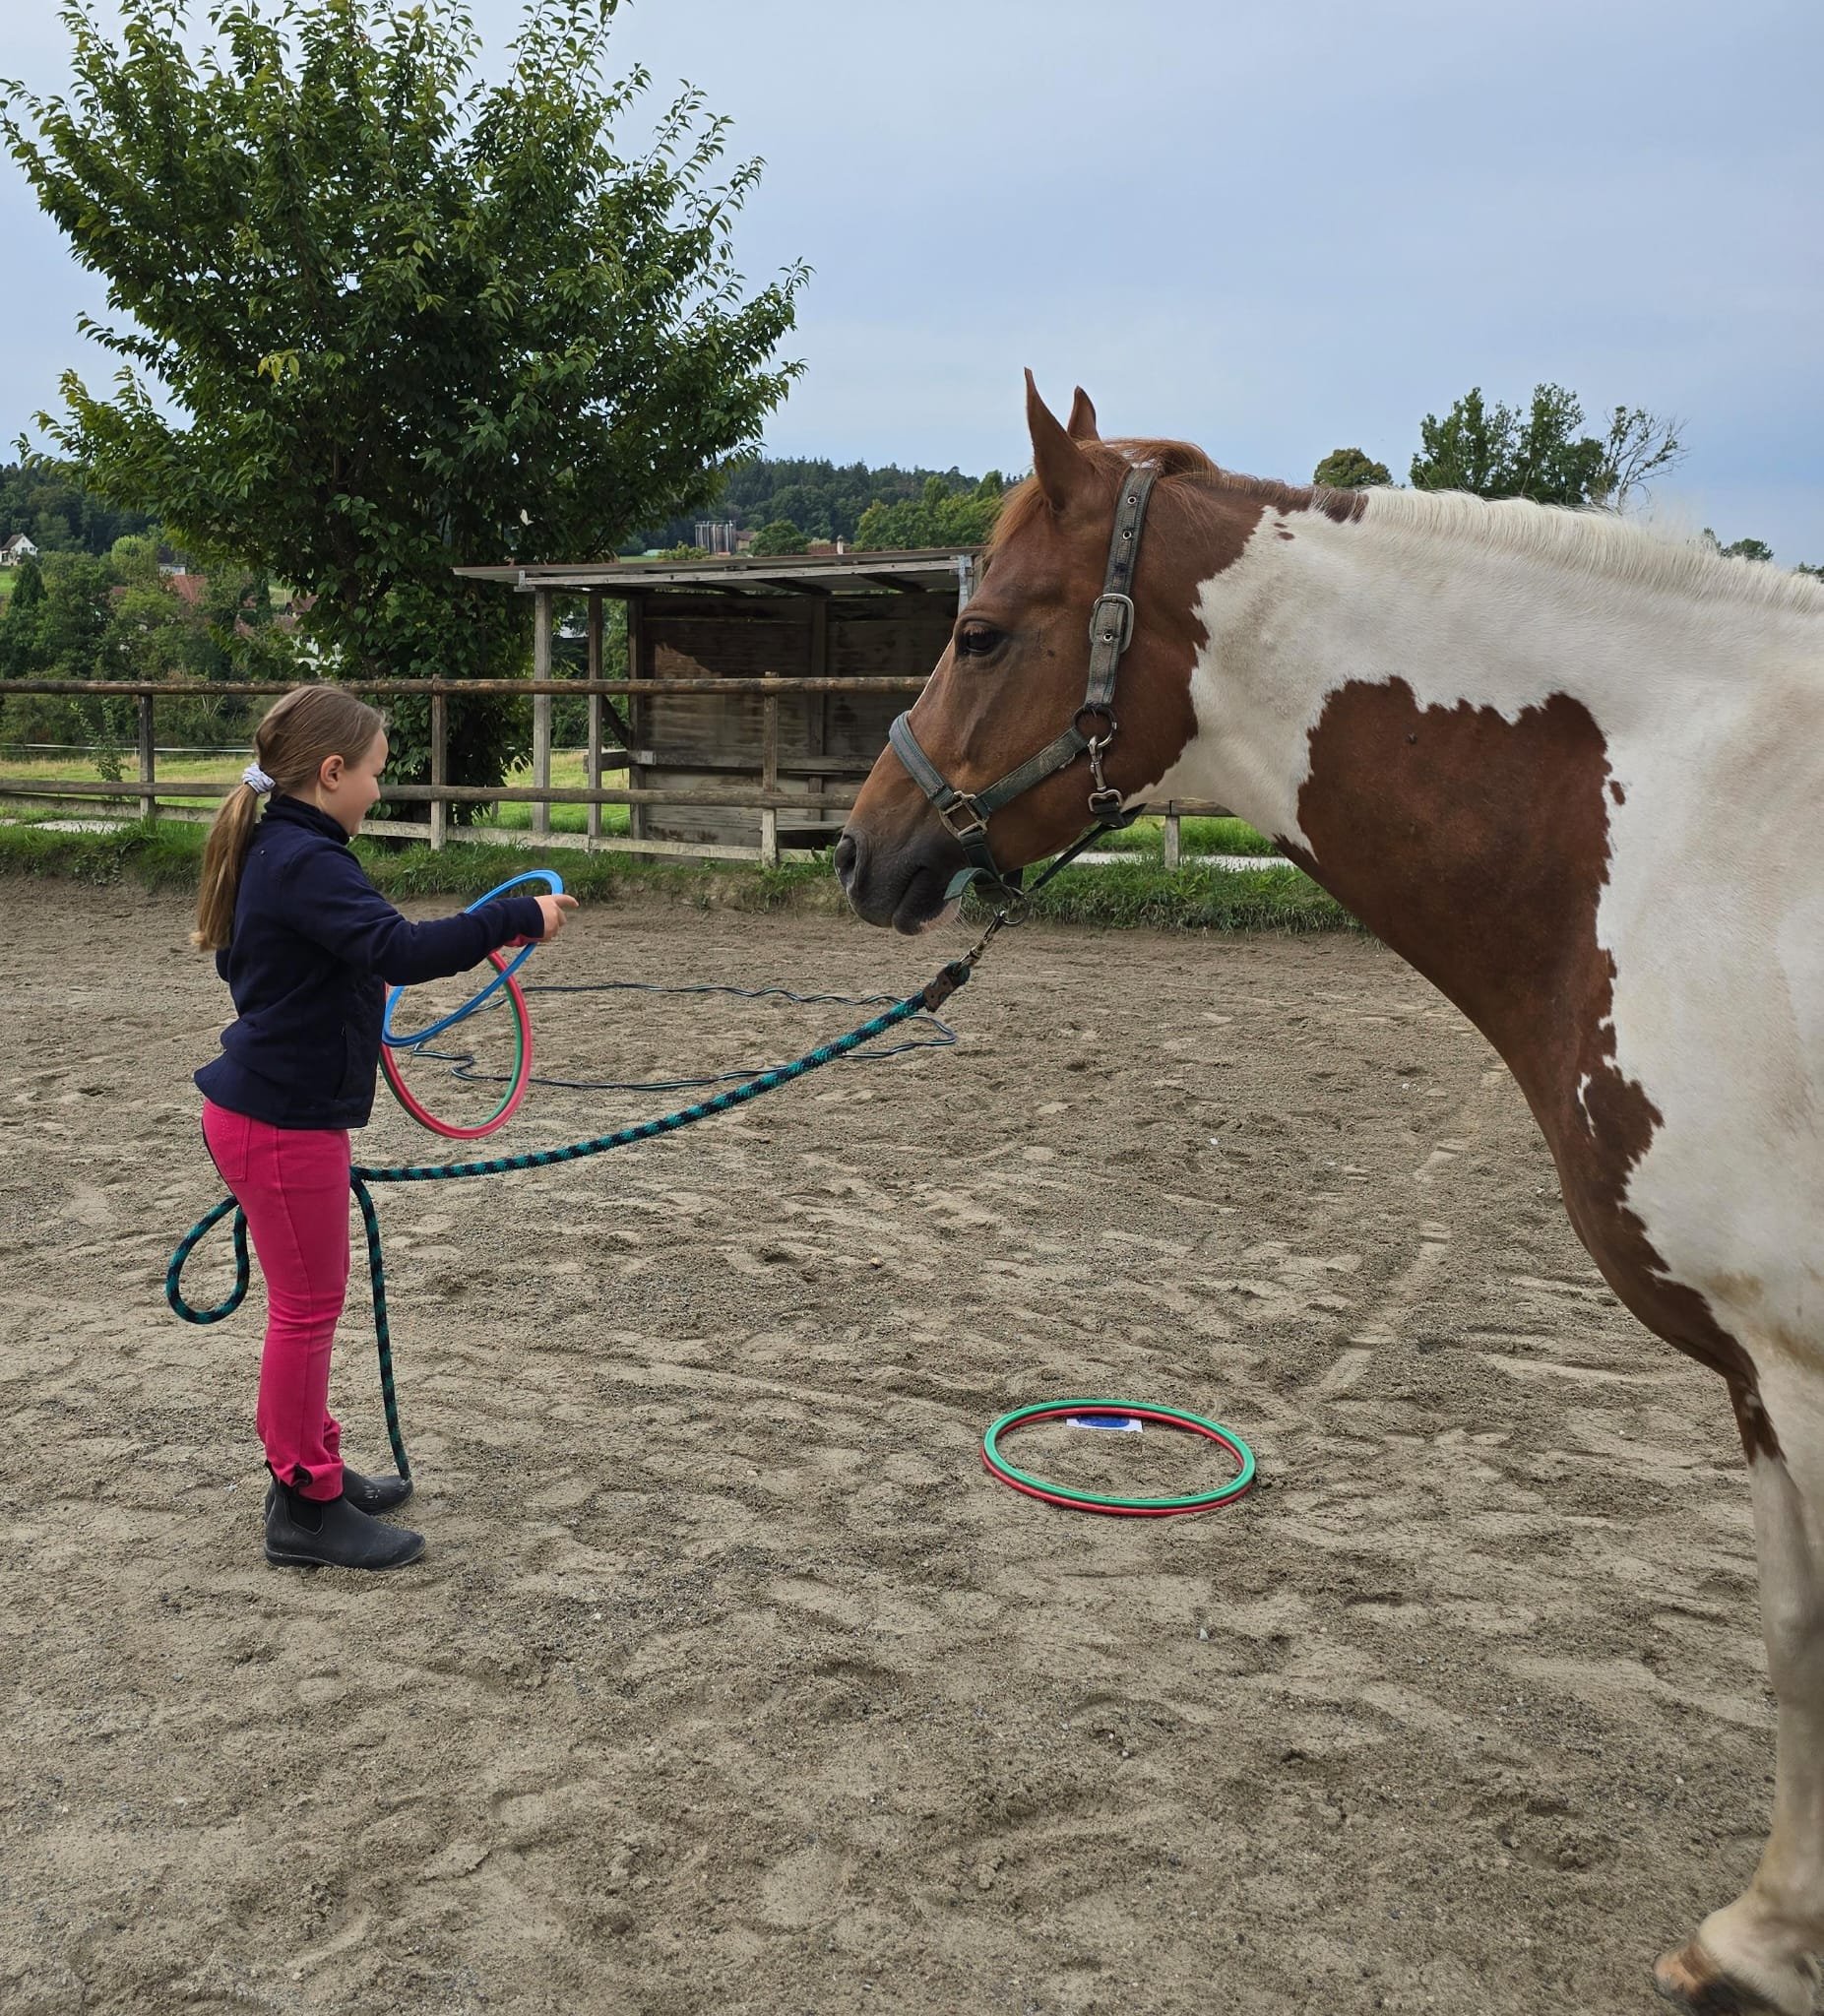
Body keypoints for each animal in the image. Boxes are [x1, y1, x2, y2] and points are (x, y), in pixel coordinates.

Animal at [835, 375, 1824, 2014]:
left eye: (979, 632)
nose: (860, 849)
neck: (1695, 841)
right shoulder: (1760, 1369)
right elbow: (1791, 1633)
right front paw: (1761, 1936)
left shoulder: (1800, 1368)